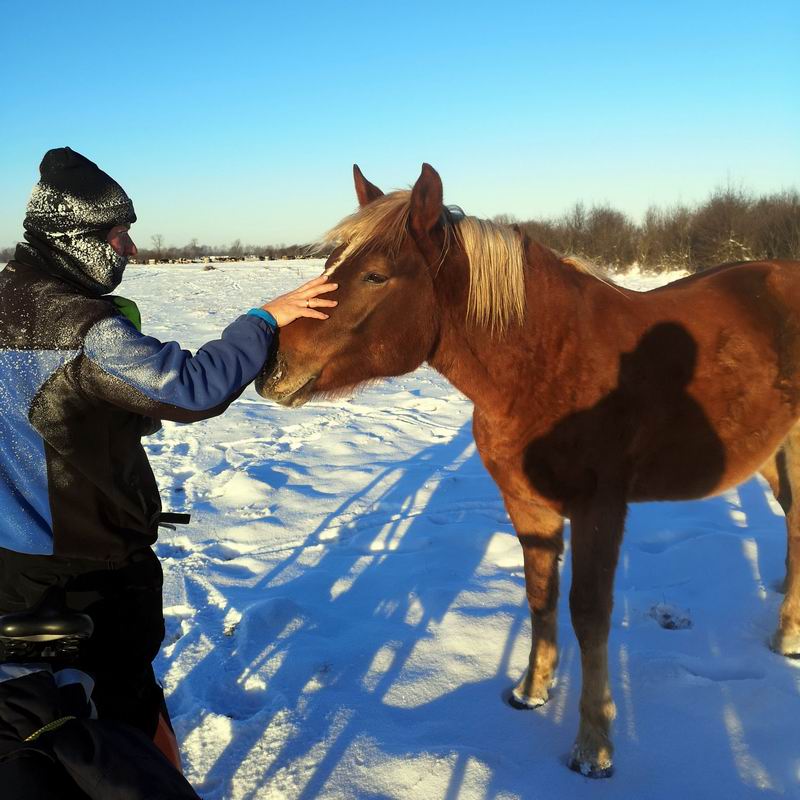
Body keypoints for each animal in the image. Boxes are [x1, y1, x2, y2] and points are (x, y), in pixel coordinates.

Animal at [256, 166, 800, 780]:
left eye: (375, 276)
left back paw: (788, 634)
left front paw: (594, 746)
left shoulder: (599, 510)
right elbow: (540, 595)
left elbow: (589, 613)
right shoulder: (526, 503)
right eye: (330, 265)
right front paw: (530, 691)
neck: (548, 363)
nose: (271, 367)